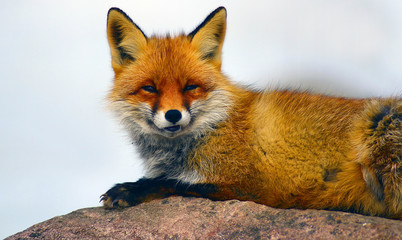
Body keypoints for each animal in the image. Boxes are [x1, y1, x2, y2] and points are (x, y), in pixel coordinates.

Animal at [102, 7, 400, 219]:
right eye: (150, 88)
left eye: (190, 87)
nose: (173, 115)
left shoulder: (249, 185)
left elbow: (176, 184)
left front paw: (131, 189)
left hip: (380, 126)